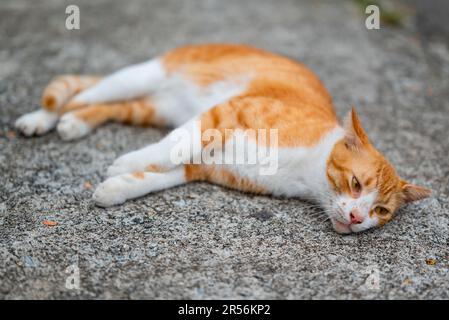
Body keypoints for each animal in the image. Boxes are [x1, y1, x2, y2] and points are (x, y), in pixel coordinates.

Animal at [15, 43, 428, 234]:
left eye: (381, 211)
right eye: (356, 183)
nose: (358, 217)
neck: (306, 172)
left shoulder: (210, 166)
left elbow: (161, 176)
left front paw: (117, 186)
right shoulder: (223, 115)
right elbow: (171, 147)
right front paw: (128, 161)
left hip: (148, 107)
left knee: (105, 105)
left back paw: (76, 124)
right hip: (143, 76)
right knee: (79, 94)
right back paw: (41, 119)